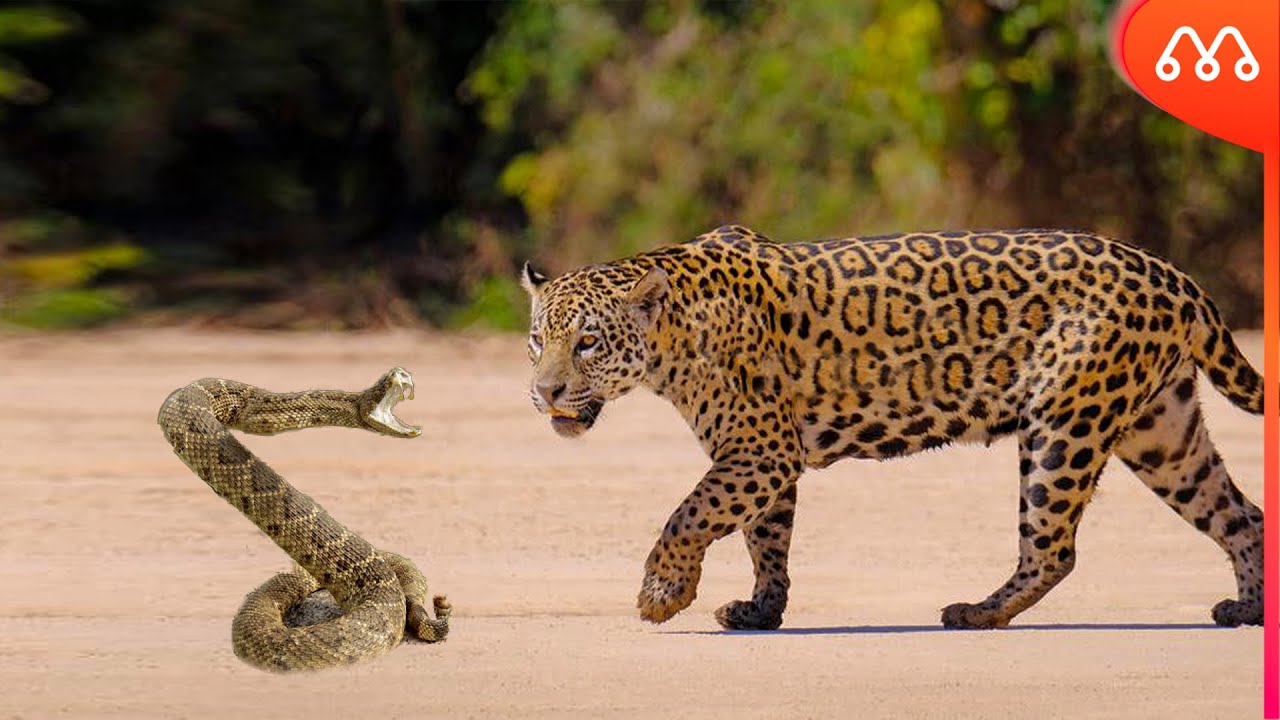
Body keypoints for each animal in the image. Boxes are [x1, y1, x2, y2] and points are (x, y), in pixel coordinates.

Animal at [520, 225, 1265, 631]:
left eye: (587, 343)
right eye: (536, 341)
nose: (544, 391)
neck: (673, 336)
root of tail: (1171, 274)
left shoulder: (758, 450)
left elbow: (690, 513)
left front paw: (662, 593)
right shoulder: (766, 457)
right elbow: (766, 540)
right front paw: (761, 612)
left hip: (1064, 424)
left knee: (1053, 549)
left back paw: (977, 612)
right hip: (1162, 432)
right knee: (1242, 514)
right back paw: (1248, 609)